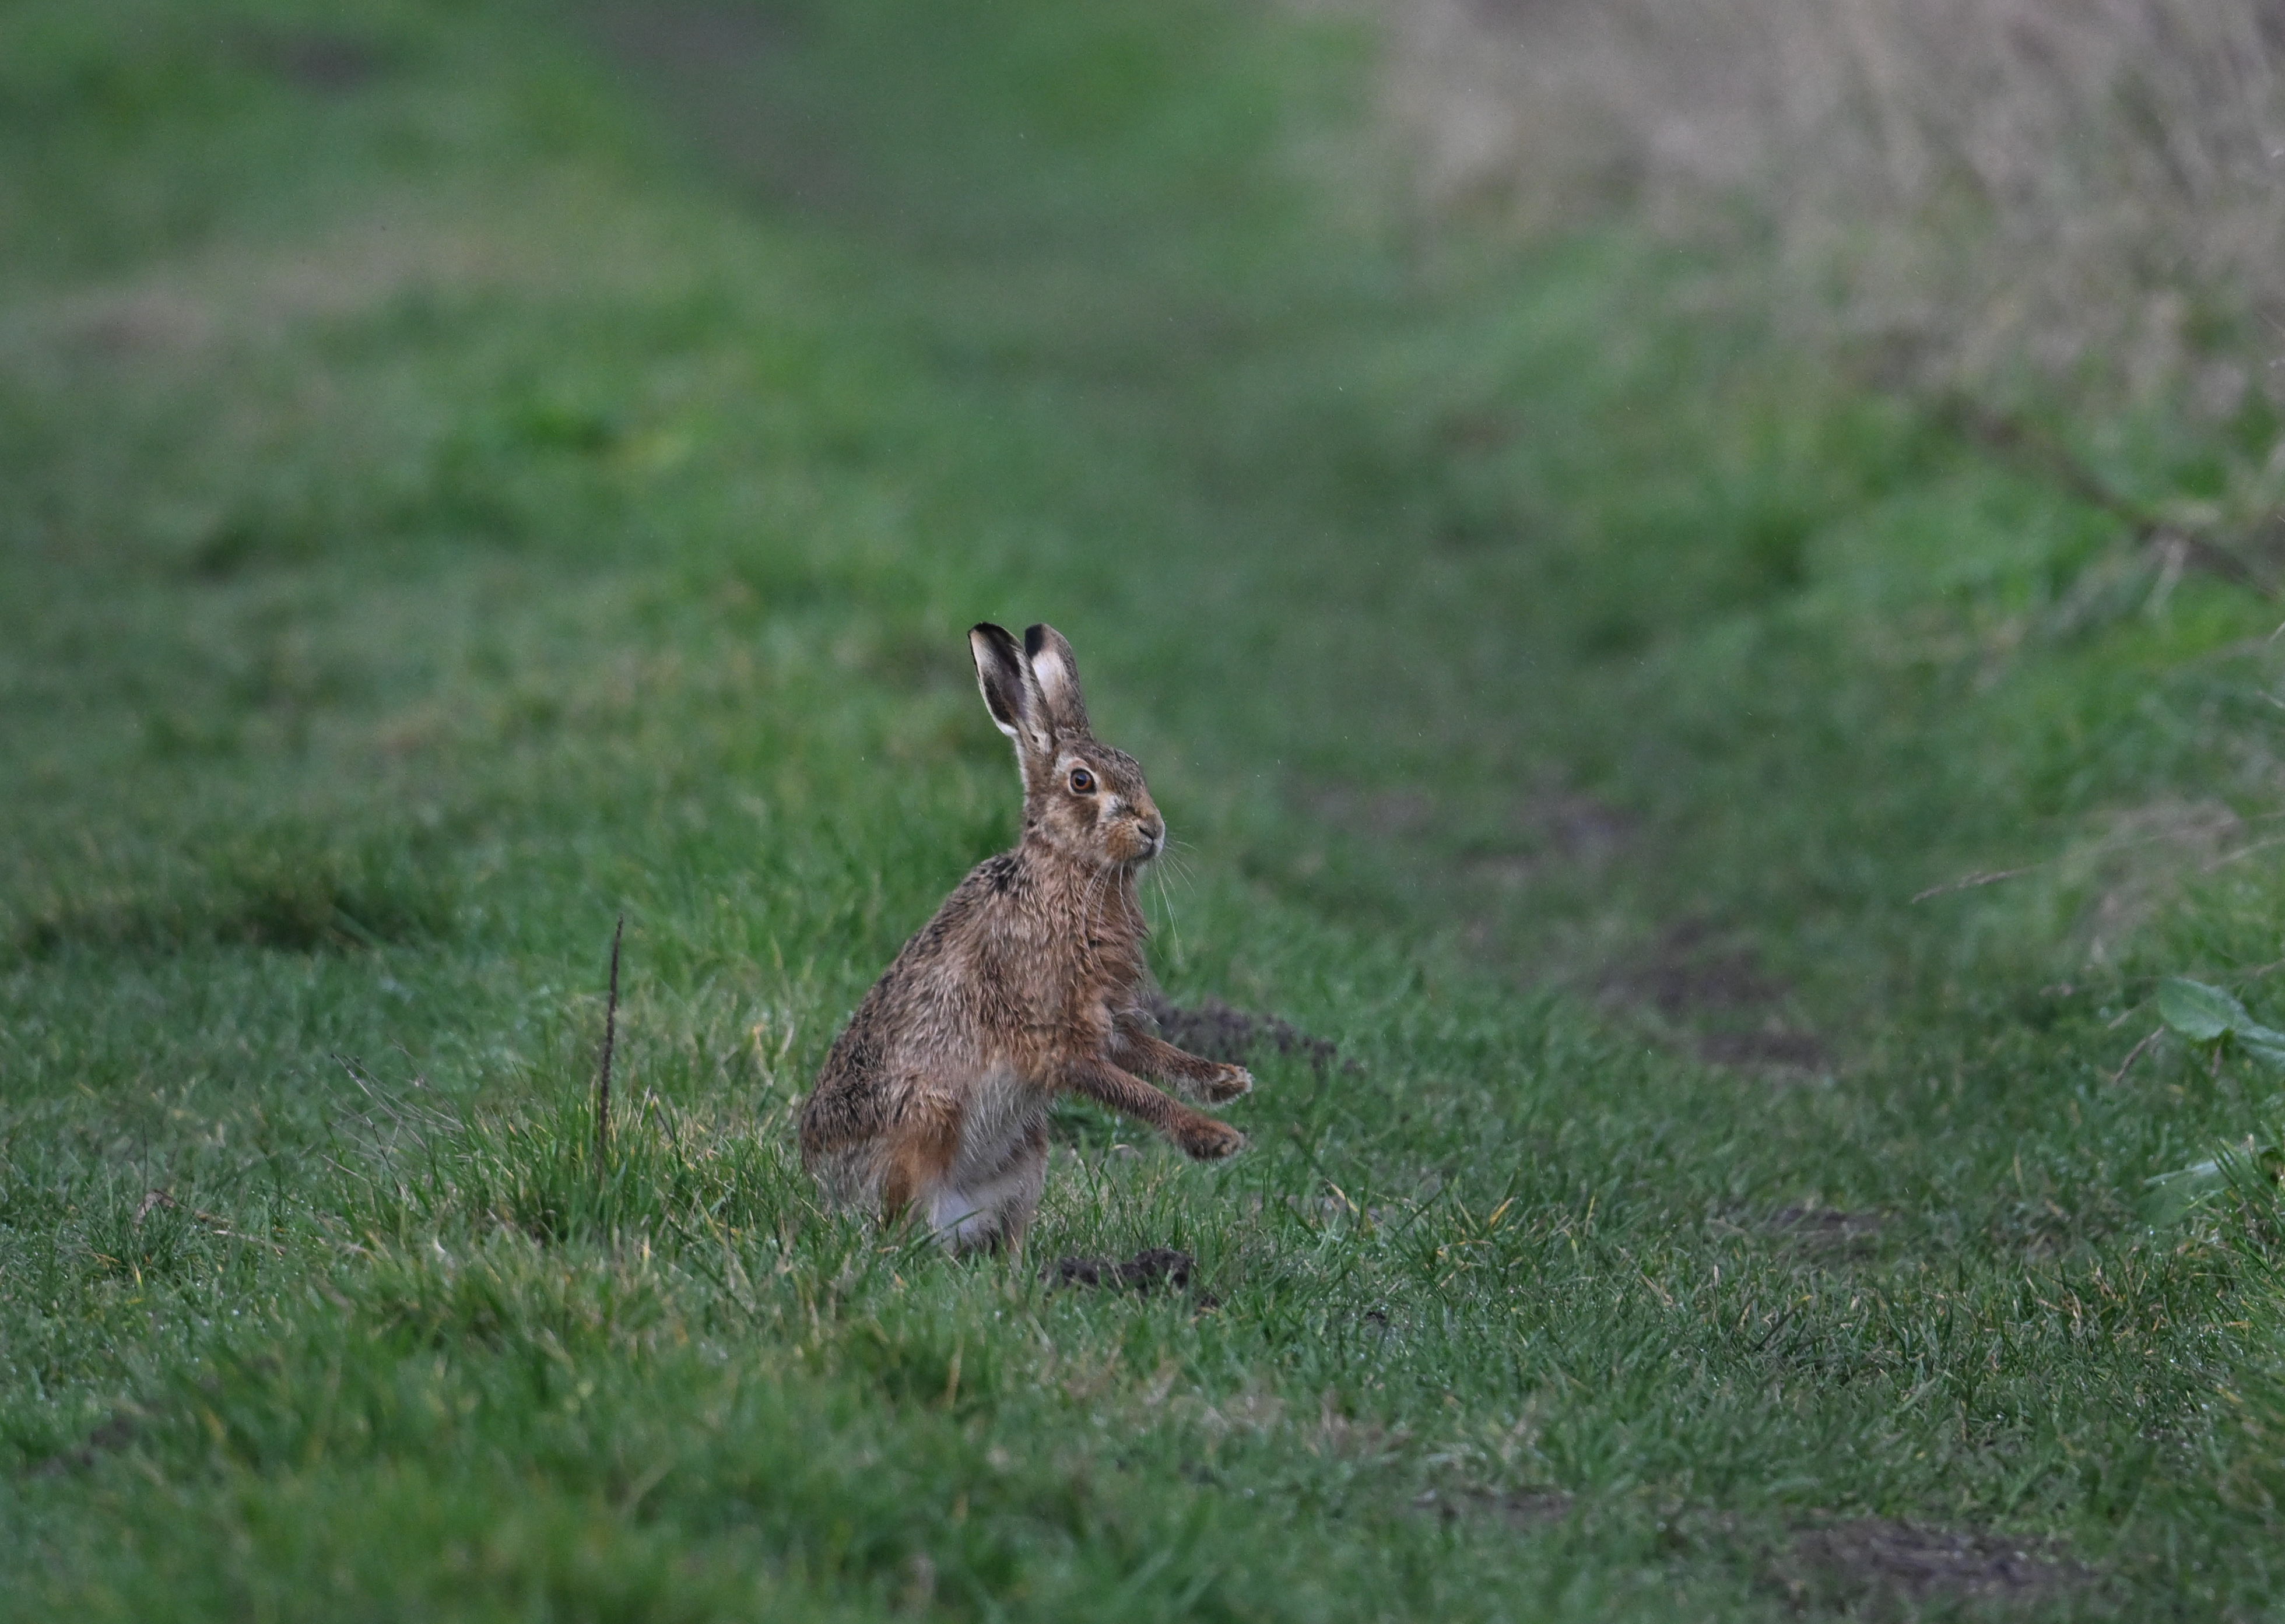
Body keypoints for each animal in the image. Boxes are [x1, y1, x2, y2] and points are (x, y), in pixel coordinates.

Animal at [798, 622, 1252, 1251]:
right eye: (1082, 781)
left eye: (1137, 767)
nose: (1153, 829)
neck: (1067, 874)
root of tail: (822, 1187)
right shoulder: (1051, 1035)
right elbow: (1137, 1092)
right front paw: (1214, 1137)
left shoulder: (1105, 1019)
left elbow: (1156, 1054)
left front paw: (1227, 1080)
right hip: (925, 1118)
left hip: (1027, 1155)